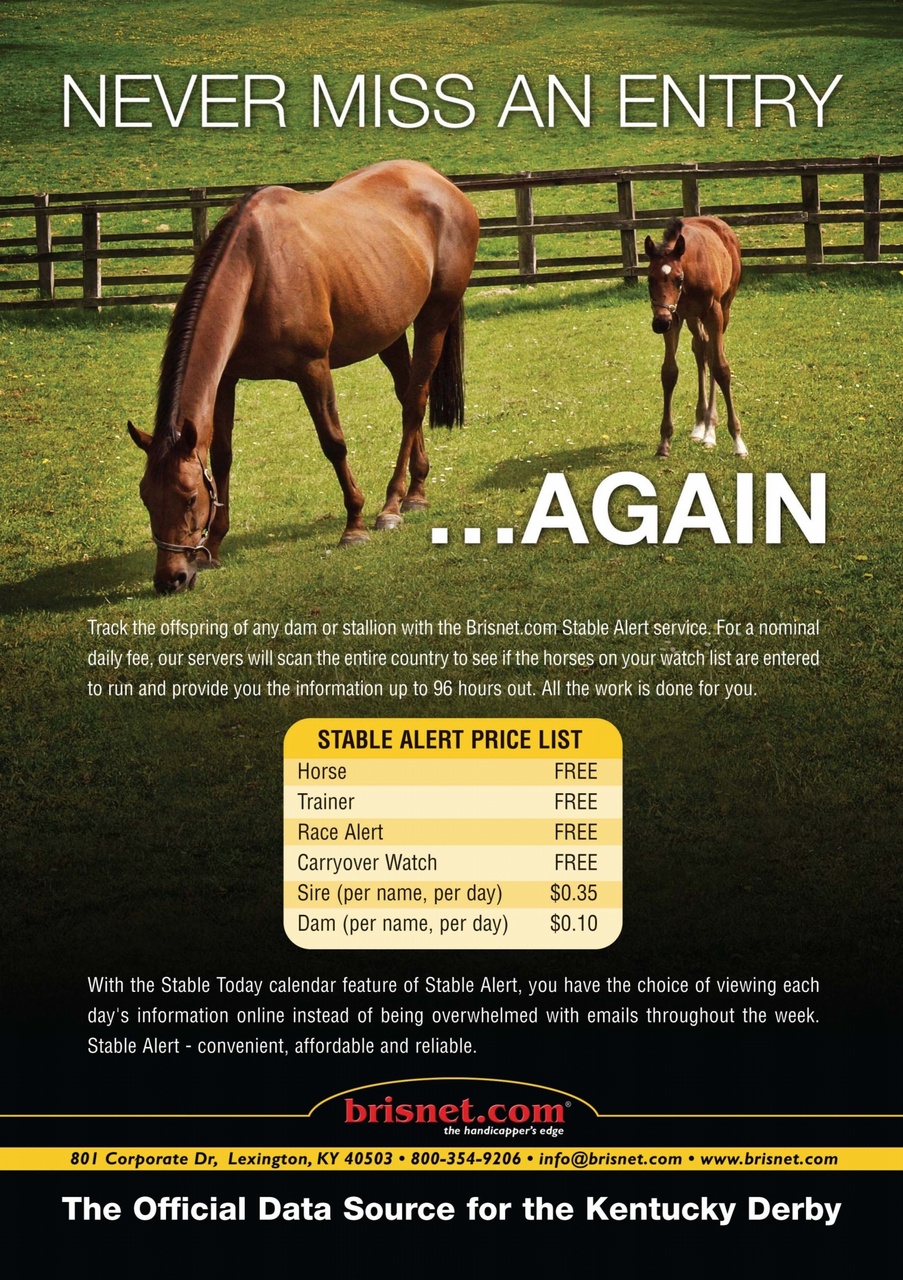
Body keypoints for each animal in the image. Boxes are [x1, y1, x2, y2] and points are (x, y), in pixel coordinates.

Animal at [127, 160, 480, 593]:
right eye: (146, 497)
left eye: (190, 497)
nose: (171, 578)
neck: (258, 268)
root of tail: (441, 183)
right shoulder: (227, 380)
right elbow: (223, 455)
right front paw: (215, 545)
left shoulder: (312, 369)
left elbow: (334, 444)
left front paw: (354, 526)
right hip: (389, 331)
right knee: (408, 394)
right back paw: (417, 490)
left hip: (434, 318)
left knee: (413, 403)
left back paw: (393, 505)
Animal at [644, 216, 747, 459]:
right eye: (650, 279)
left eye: (678, 279)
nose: (660, 323)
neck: (690, 272)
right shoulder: (675, 316)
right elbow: (669, 372)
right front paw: (664, 442)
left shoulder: (714, 313)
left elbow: (721, 369)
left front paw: (738, 442)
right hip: (692, 318)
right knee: (701, 350)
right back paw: (701, 425)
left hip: (725, 308)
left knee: (712, 353)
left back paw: (710, 430)